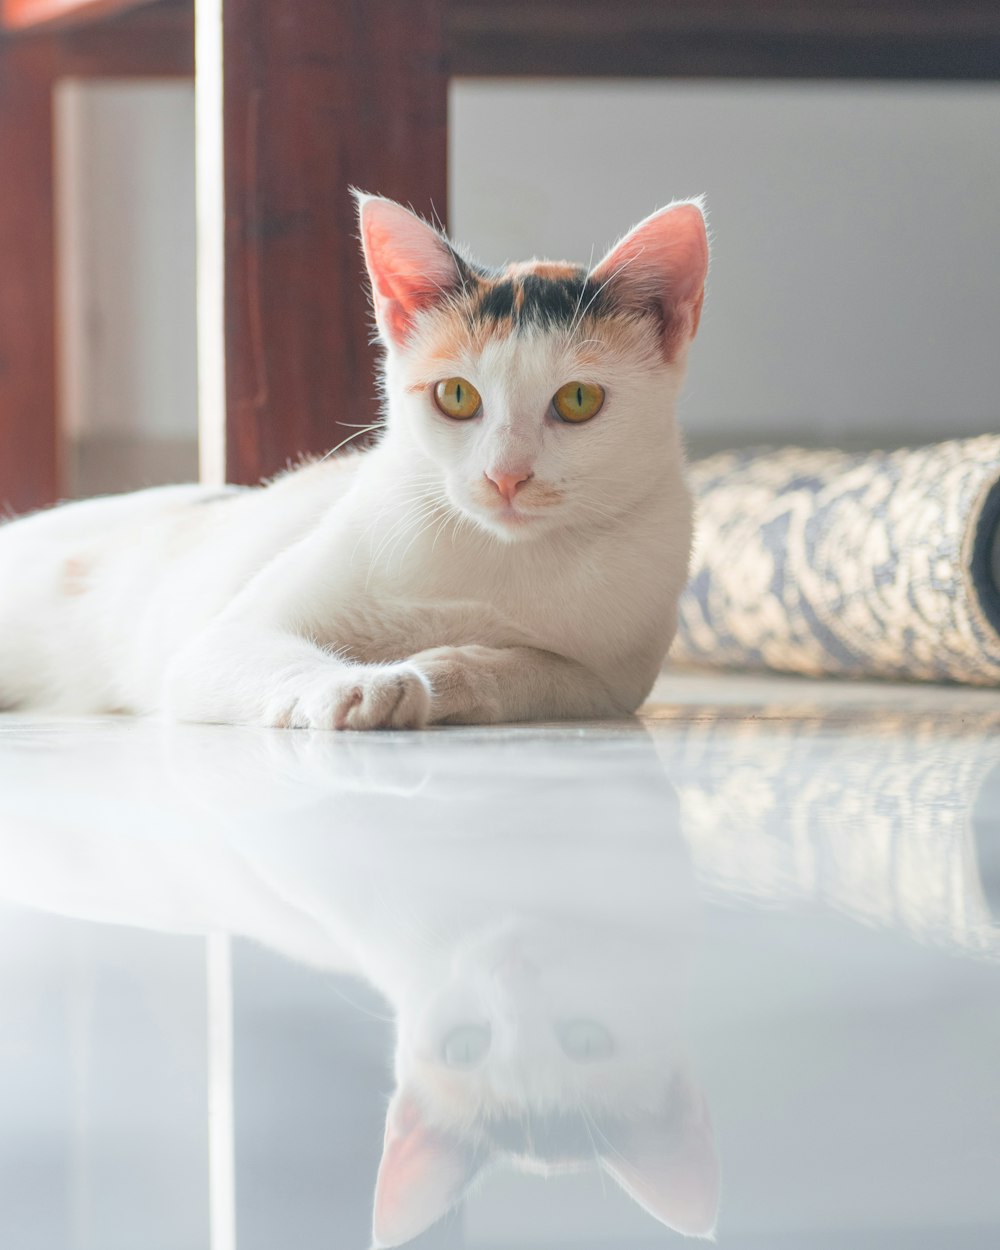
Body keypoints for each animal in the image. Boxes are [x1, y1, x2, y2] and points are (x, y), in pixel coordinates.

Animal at [0, 190, 705, 730]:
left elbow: (540, 671)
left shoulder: (612, 681)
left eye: (578, 400)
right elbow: (257, 650)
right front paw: (354, 685)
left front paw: (444, 673)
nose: (505, 475)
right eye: (457, 396)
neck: (499, 559)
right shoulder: (219, 641)